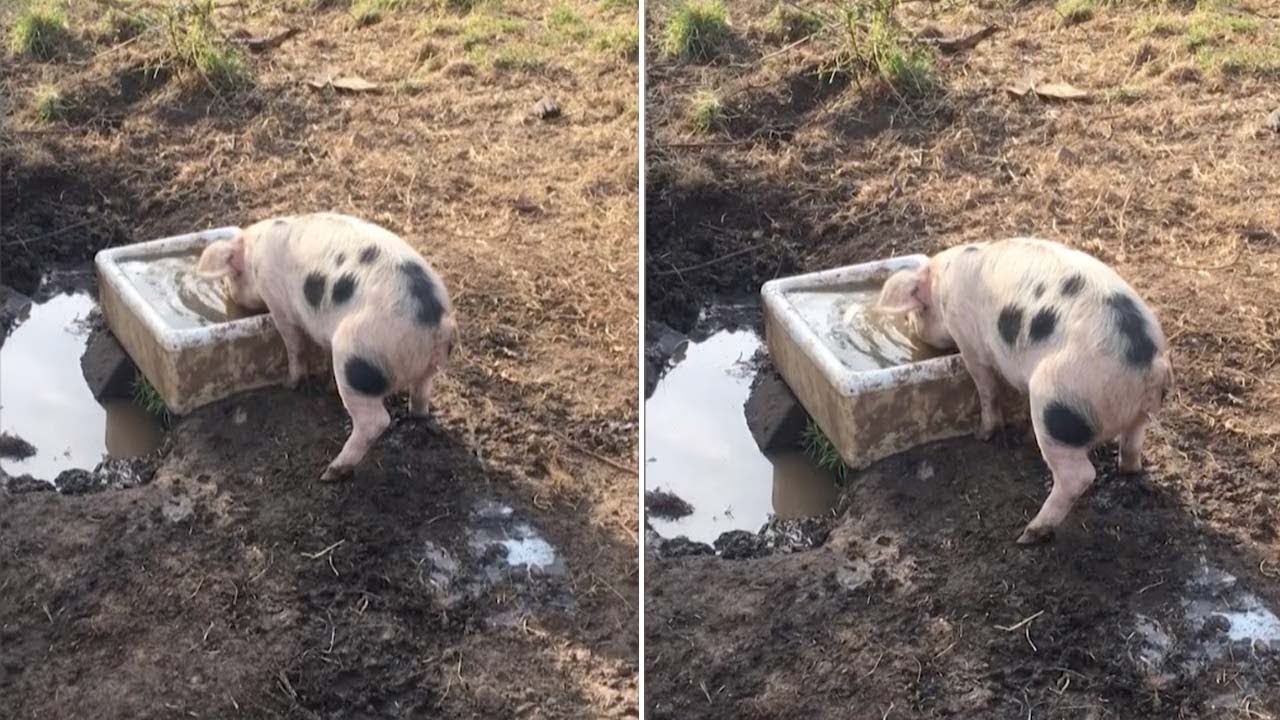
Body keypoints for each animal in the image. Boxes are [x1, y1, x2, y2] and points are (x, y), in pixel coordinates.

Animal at [196, 212, 456, 481]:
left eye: (231, 276)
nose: (228, 294)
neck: (253, 254)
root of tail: (434, 322)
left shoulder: (279, 303)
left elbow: (294, 344)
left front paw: (289, 384)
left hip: (355, 357)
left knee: (375, 421)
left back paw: (331, 472)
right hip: (424, 368)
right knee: (421, 392)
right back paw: (418, 415)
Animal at [876, 237, 1173, 544]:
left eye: (916, 310)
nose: (908, 325)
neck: (941, 284)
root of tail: (1146, 364)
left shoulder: (970, 343)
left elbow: (987, 388)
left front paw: (982, 434)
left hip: (1054, 402)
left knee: (1078, 476)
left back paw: (1029, 534)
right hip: (1138, 414)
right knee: (1132, 443)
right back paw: (1127, 469)